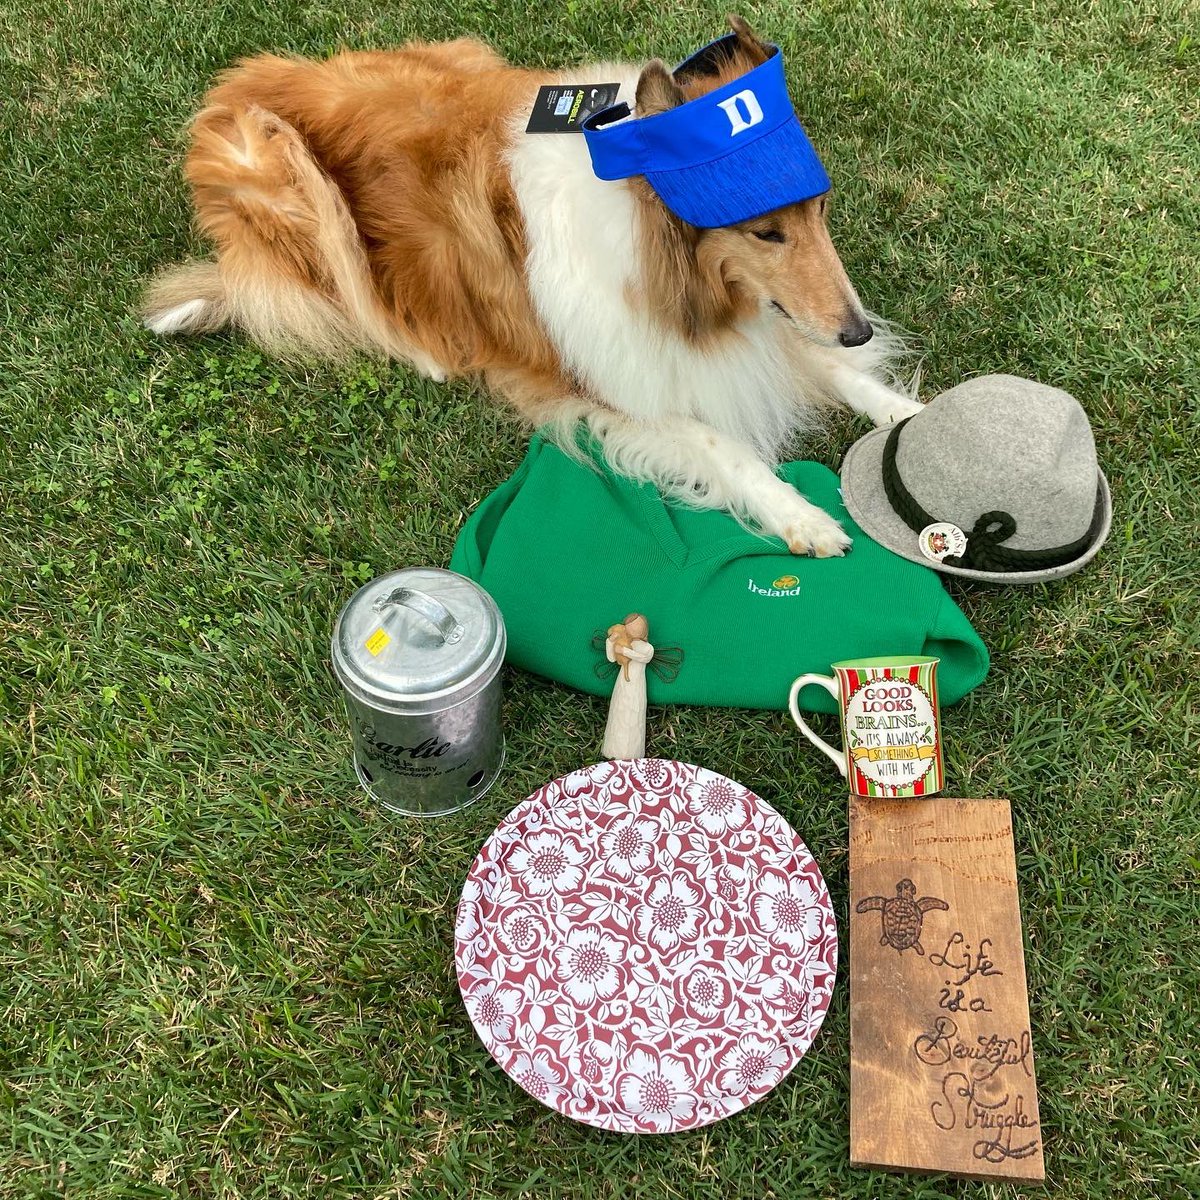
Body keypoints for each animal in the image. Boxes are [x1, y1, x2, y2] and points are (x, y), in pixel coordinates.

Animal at [145, 15, 921, 556]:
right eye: (765, 233)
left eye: (820, 210)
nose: (859, 329)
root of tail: (239, 82)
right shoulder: (603, 382)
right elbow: (716, 442)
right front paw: (802, 515)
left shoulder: (772, 317)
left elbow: (832, 369)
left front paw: (906, 414)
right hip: (286, 164)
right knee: (358, 301)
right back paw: (430, 353)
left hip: (465, 57)